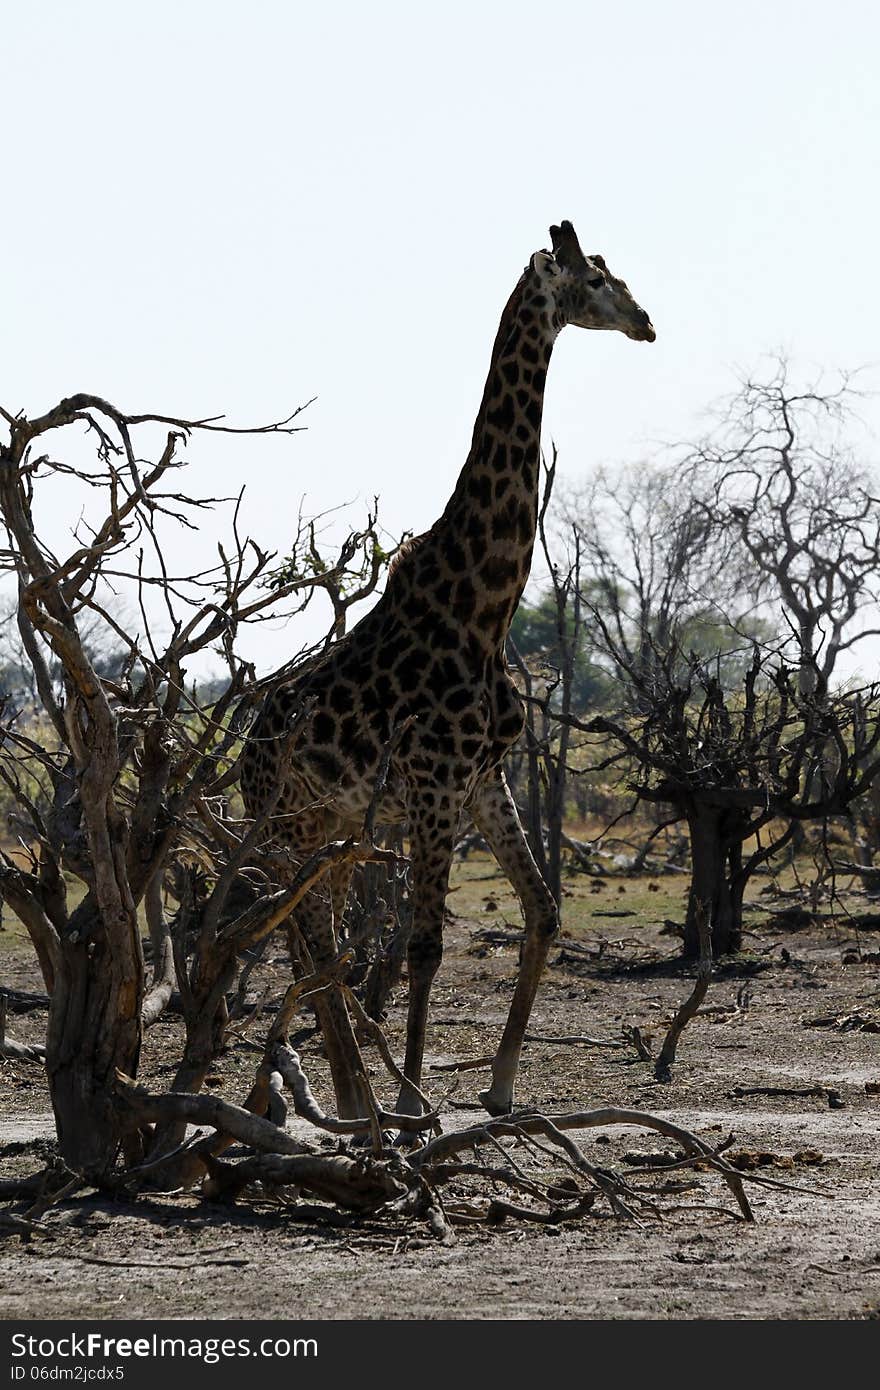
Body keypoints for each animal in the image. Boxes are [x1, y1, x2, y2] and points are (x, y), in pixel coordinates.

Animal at [241, 222, 653, 1123]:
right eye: (596, 278)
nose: (646, 321)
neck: (484, 603)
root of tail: (245, 747)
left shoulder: (483, 776)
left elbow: (543, 912)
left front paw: (499, 1086)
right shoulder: (434, 780)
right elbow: (425, 946)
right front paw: (412, 1100)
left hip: (328, 827)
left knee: (315, 935)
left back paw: (343, 1093)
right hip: (285, 826)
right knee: (302, 937)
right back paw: (352, 1098)